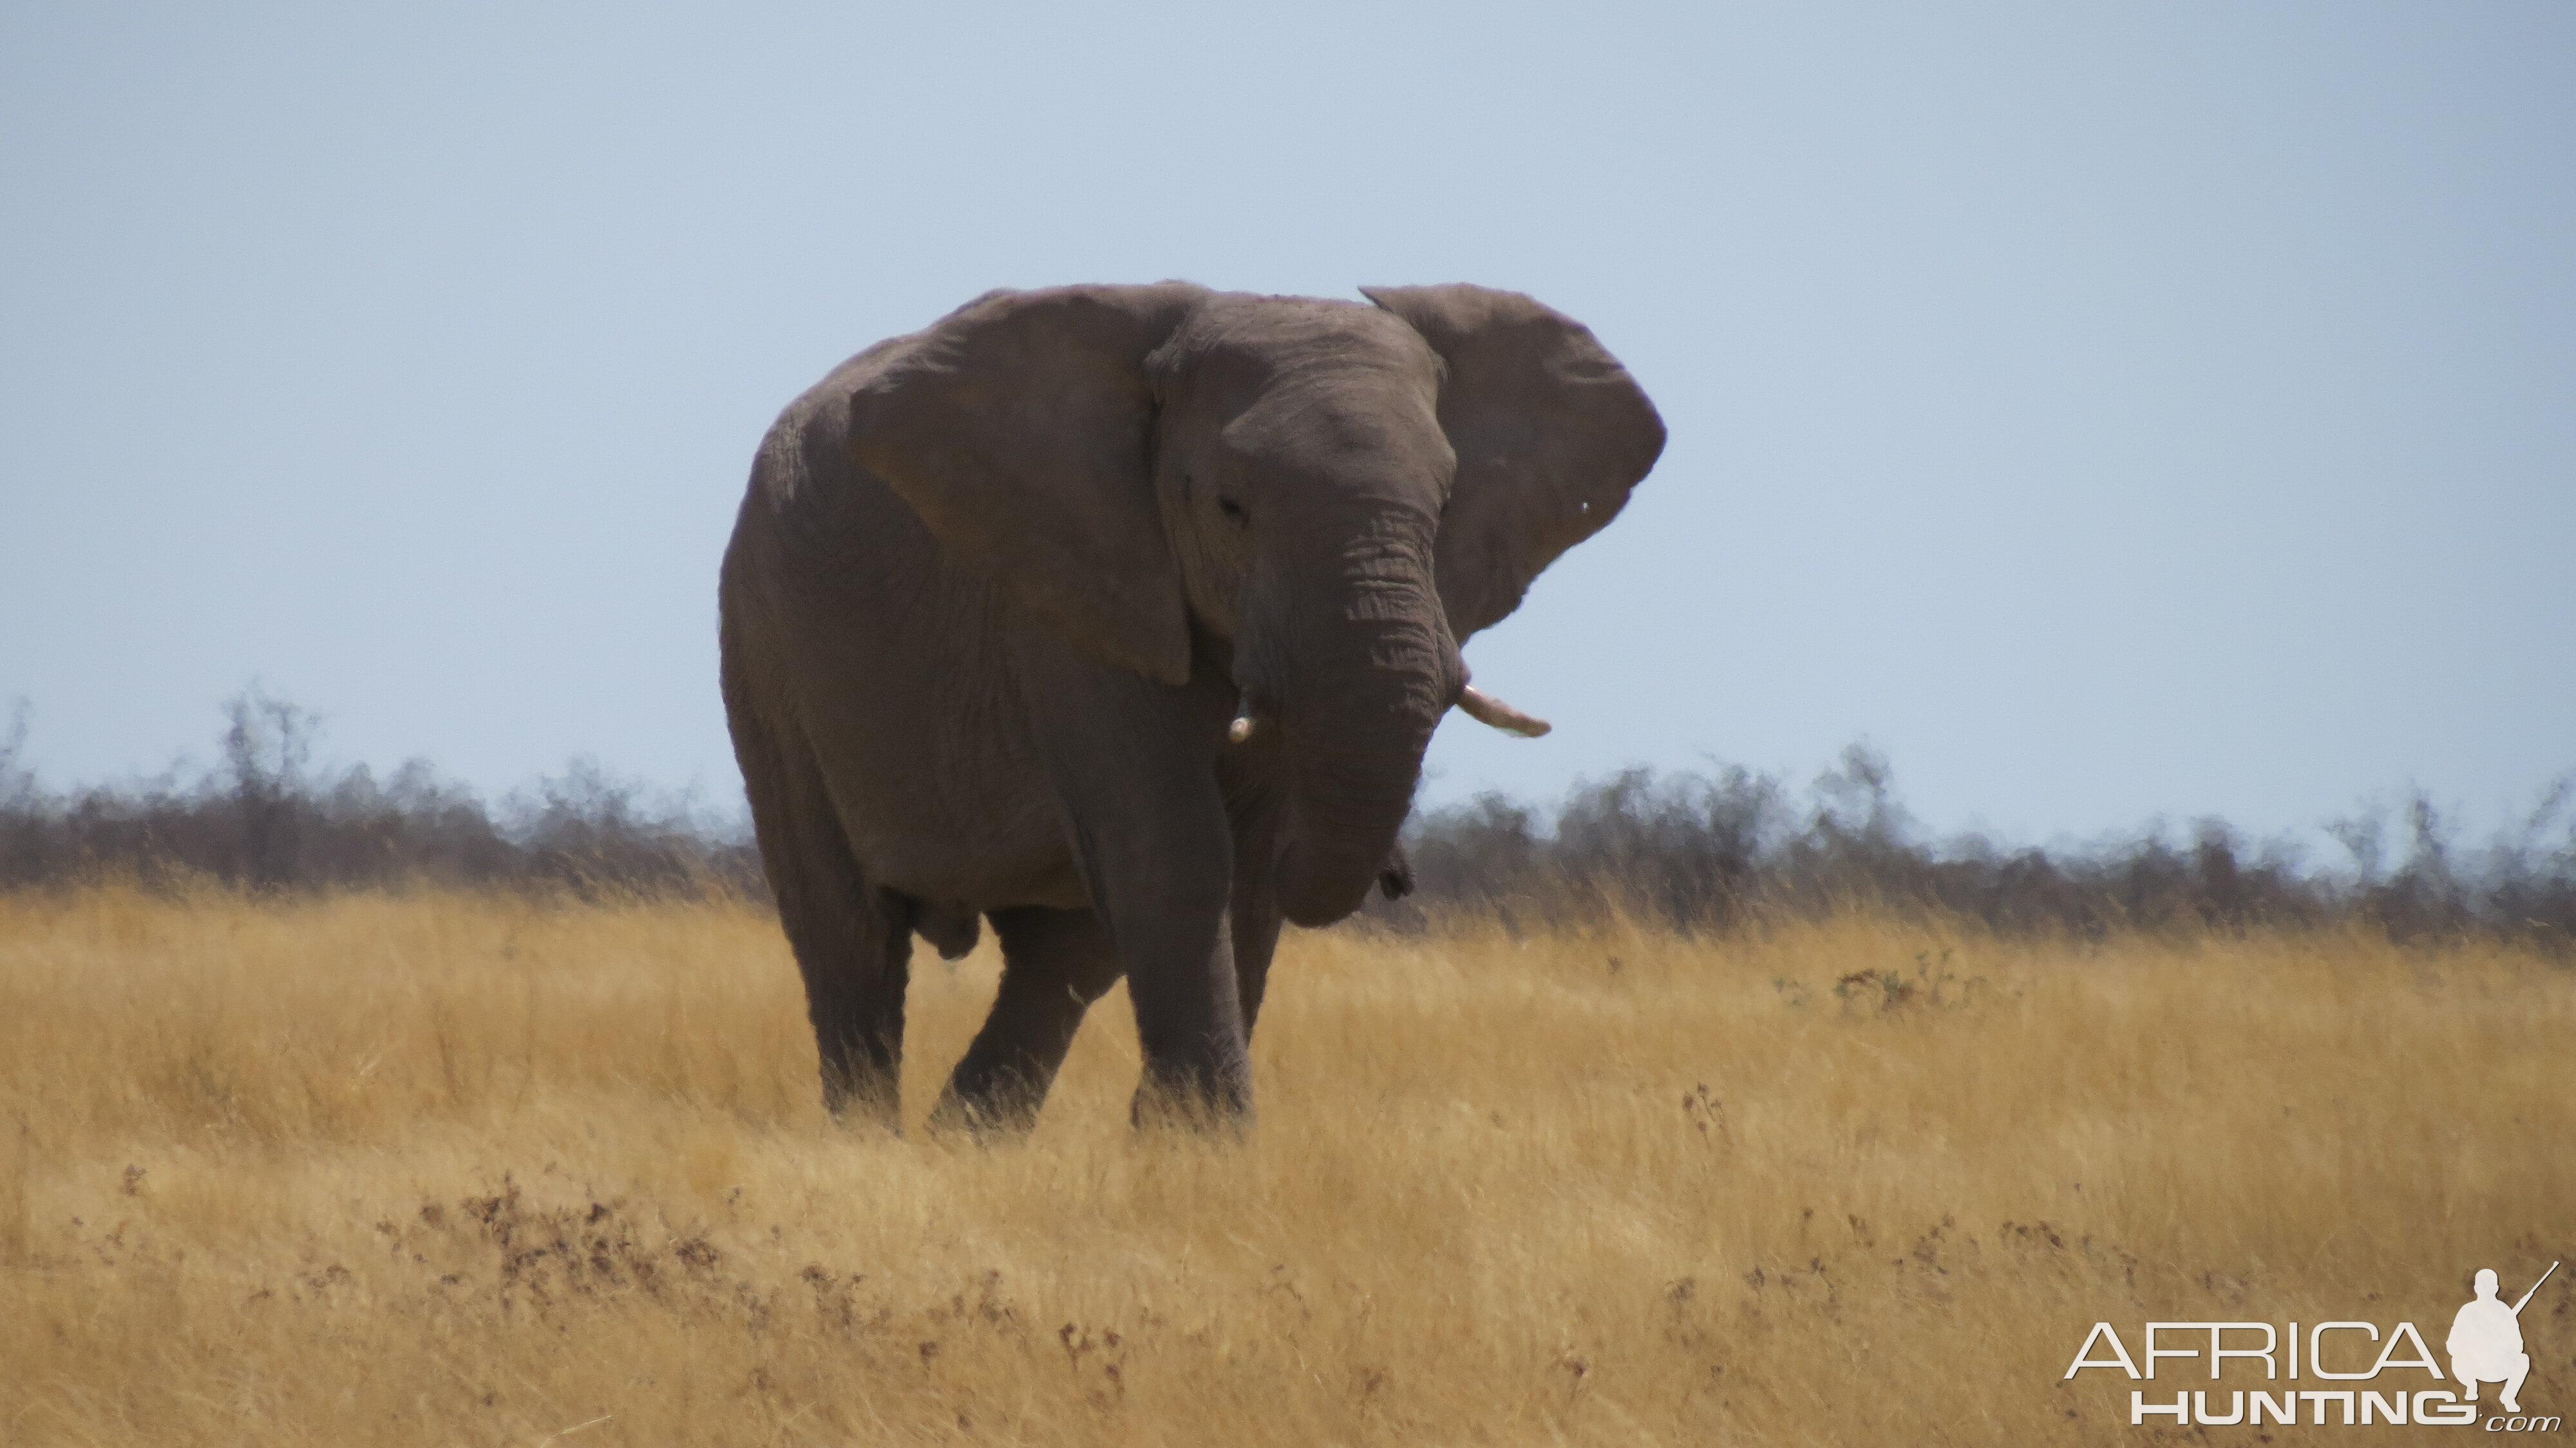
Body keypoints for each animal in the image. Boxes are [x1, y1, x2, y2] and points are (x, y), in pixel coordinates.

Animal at [716, 276, 1659, 1123]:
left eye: (1446, 505)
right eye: (1230, 507)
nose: (1399, 877)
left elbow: (1243, 872)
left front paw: (1176, 1145)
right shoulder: (1070, 586)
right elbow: (1176, 852)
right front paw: (1203, 1145)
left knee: (1061, 960)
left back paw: (965, 1141)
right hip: (764, 647)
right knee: (849, 935)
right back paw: (870, 1143)